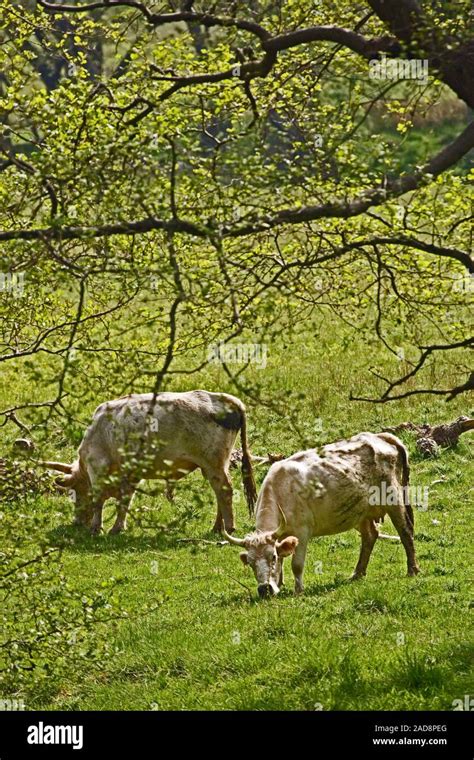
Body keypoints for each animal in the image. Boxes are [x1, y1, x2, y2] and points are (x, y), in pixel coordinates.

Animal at [40, 392, 256, 536]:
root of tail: (227, 399)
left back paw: (228, 527)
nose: (77, 522)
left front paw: (96, 527)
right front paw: (118, 527)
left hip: (213, 463)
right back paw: (218, 527)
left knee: (225, 490)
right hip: (215, 465)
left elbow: (99, 500)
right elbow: (125, 501)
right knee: (219, 492)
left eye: (74, 491)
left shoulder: (98, 467)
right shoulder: (130, 475)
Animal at [224, 430, 420, 596]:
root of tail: (379, 437)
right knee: (370, 535)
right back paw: (357, 573)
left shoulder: (302, 532)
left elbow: (296, 564)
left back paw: (413, 570)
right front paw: (278, 584)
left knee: (405, 531)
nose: (264, 590)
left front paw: (298, 591)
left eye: (271, 556)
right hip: (361, 513)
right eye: (250, 563)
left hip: (394, 499)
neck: (281, 490)